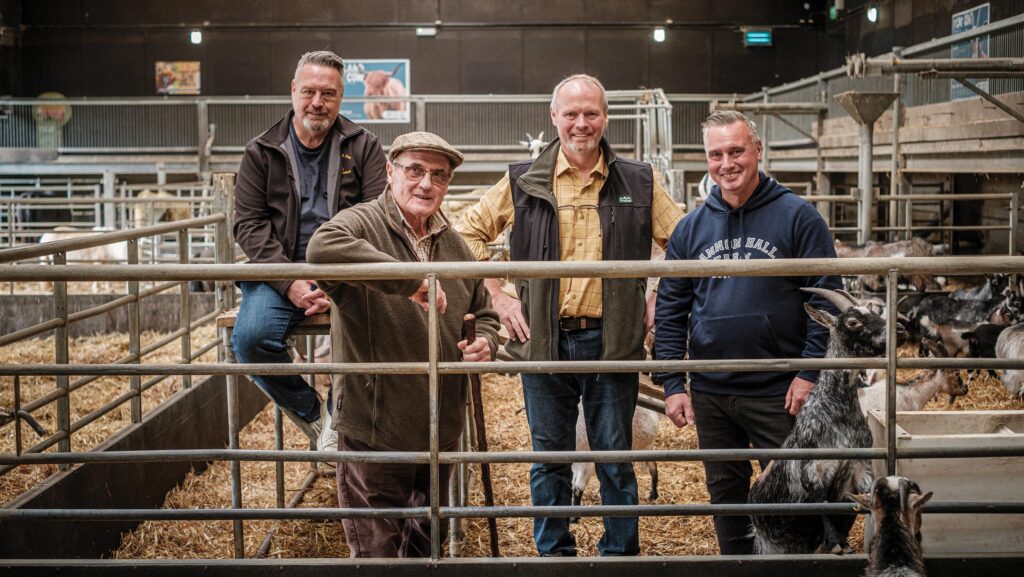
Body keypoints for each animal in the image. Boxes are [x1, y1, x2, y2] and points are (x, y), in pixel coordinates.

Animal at [745, 286, 905, 553]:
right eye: (853, 322)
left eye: (874, 312)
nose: (900, 330)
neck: (836, 410)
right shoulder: (812, 472)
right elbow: (822, 506)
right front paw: (836, 545)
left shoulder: (859, 468)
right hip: (770, 544)